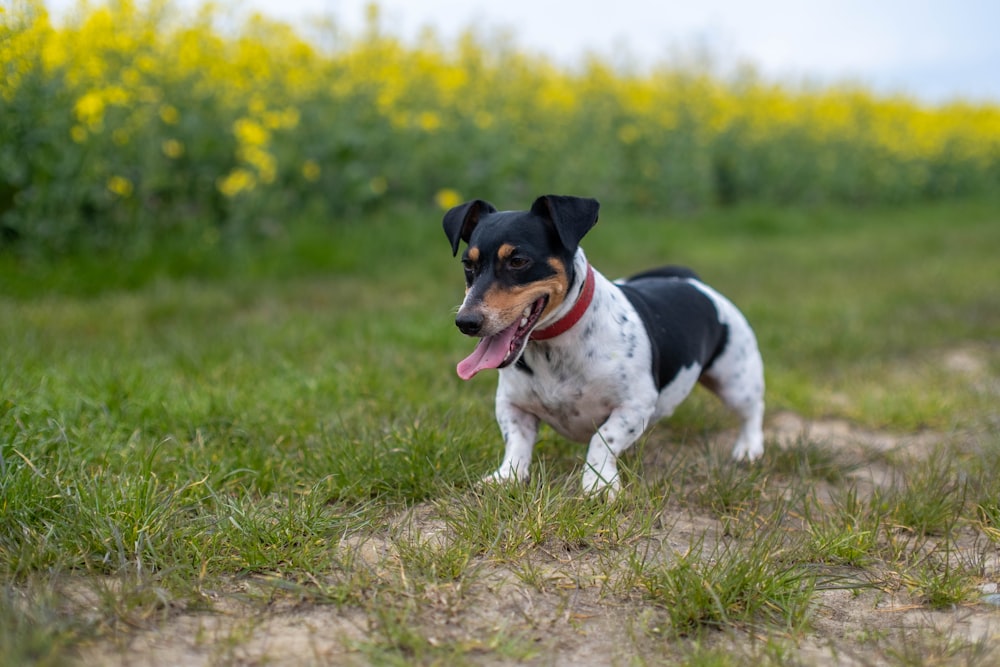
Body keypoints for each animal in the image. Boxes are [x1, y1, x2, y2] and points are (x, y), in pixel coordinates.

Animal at [442, 193, 760, 496]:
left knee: (752, 411)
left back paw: (748, 449)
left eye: (518, 261)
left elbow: (602, 439)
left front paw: (598, 483)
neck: (554, 348)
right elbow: (516, 443)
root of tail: (692, 281)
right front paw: (507, 477)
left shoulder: (634, 405)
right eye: (468, 265)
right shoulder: (512, 405)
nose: (466, 322)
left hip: (735, 380)